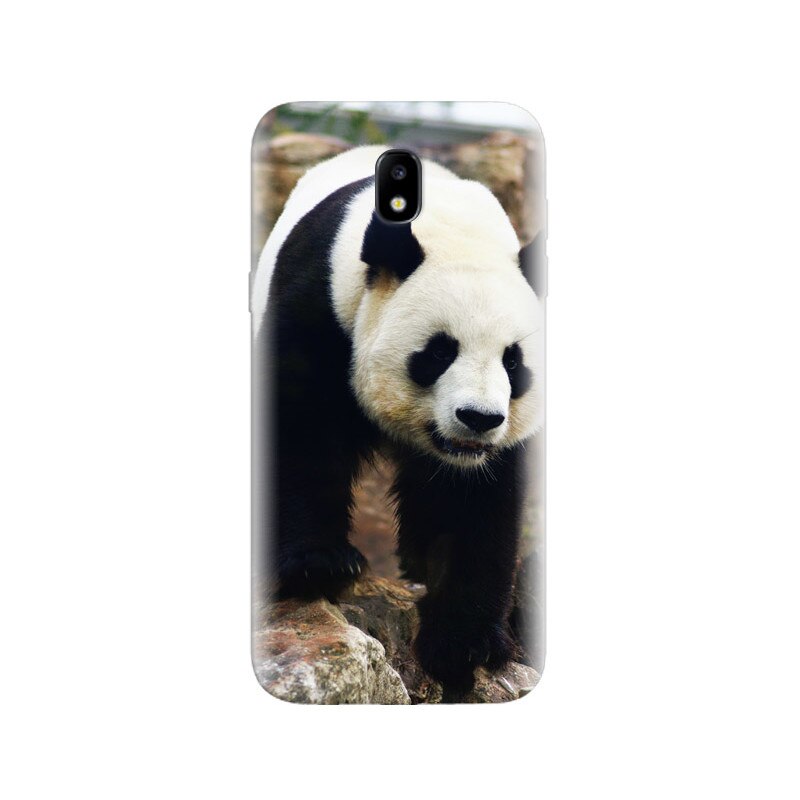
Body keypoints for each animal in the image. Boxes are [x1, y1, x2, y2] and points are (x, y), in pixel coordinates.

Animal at [252, 145, 544, 695]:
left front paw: (464, 642)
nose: (477, 418)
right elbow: (302, 431)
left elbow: (474, 501)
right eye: (439, 351)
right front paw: (317, 566)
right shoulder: (321, 308)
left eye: (513, 361)